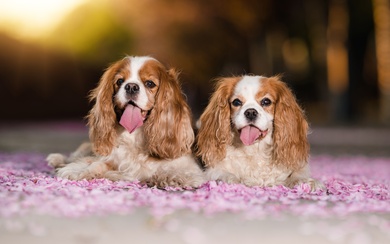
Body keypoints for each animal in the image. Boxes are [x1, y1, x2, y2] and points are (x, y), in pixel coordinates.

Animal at [47, 55, 204, 189]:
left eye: (150, 83)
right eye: (120, 81)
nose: (131, 86)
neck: (135, 136)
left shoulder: (191, 168)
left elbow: (173, 172)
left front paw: (168, 177)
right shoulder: (110, 158)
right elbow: (96, 163)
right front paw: (80, 170)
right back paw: (57, 159)